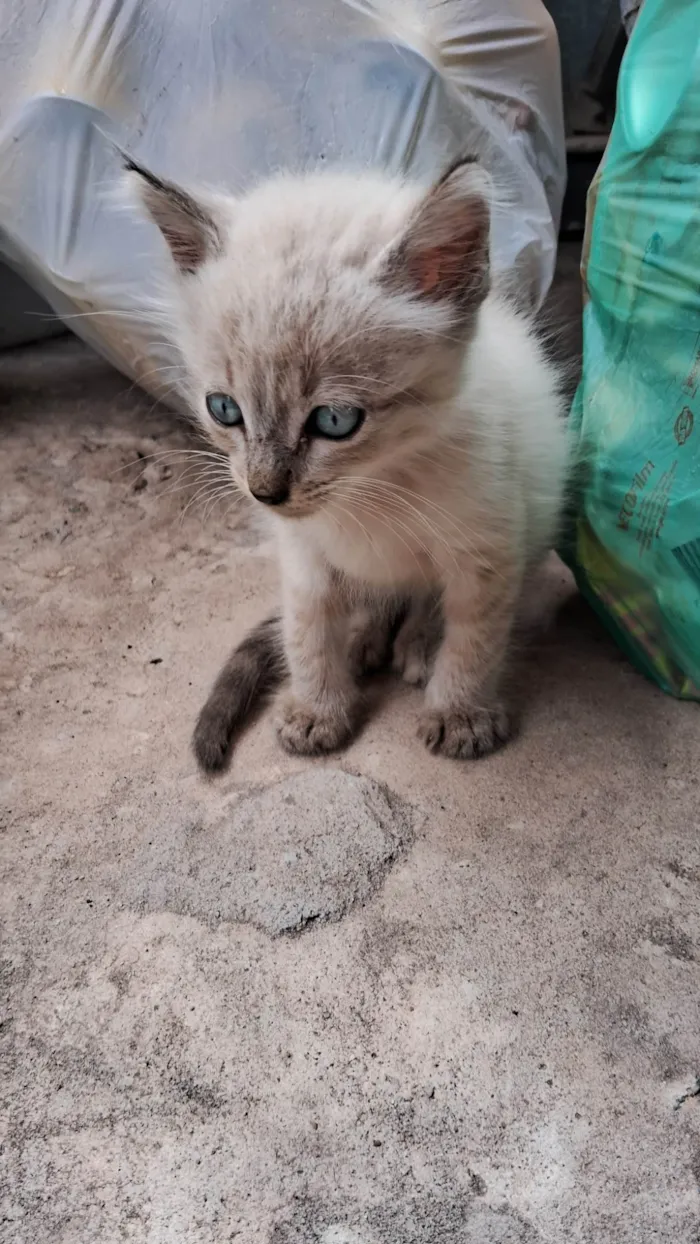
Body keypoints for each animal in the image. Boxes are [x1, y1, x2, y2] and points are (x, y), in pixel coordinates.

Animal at [127, 155, 569, 766]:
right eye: (223, 409)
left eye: (335, 421)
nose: (264, 491)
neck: (374, 484)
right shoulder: (304, 555)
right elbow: (308, 630)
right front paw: (317, 708)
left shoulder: (489, 548)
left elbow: (474, 637)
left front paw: (459, 711)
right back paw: (365, 640)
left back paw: (418, 643)